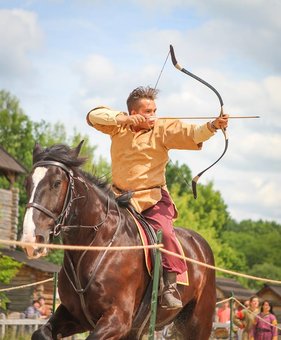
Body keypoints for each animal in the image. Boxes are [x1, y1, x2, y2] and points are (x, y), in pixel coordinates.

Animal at [21, 142, 214, 338]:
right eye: (27, 183)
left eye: (57, 183)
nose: (31, 238)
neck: (97, 244)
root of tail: (201, 244)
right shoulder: (74, 315)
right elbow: (40, 333)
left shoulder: (118, 320)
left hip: (198, 324)